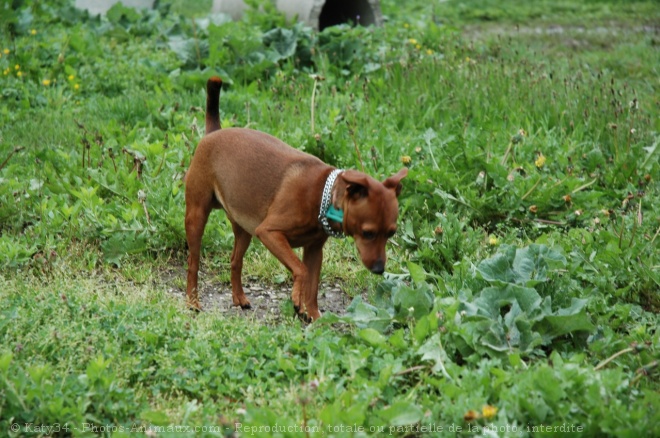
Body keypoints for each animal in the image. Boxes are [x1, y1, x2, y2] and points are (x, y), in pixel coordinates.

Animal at [183, 77, 404, 320]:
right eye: (368, 233)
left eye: (391, 233)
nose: (379, 269)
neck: (322, 196)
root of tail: (213, 133)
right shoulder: (269, 233)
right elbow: (301, 269)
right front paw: (297, 299)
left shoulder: (314, 250)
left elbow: (313, 285)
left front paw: (315, 317)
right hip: (197, 215)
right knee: (193, 263)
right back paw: (192, 302)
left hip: (243, 229)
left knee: (235, 261)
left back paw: (239, 298)